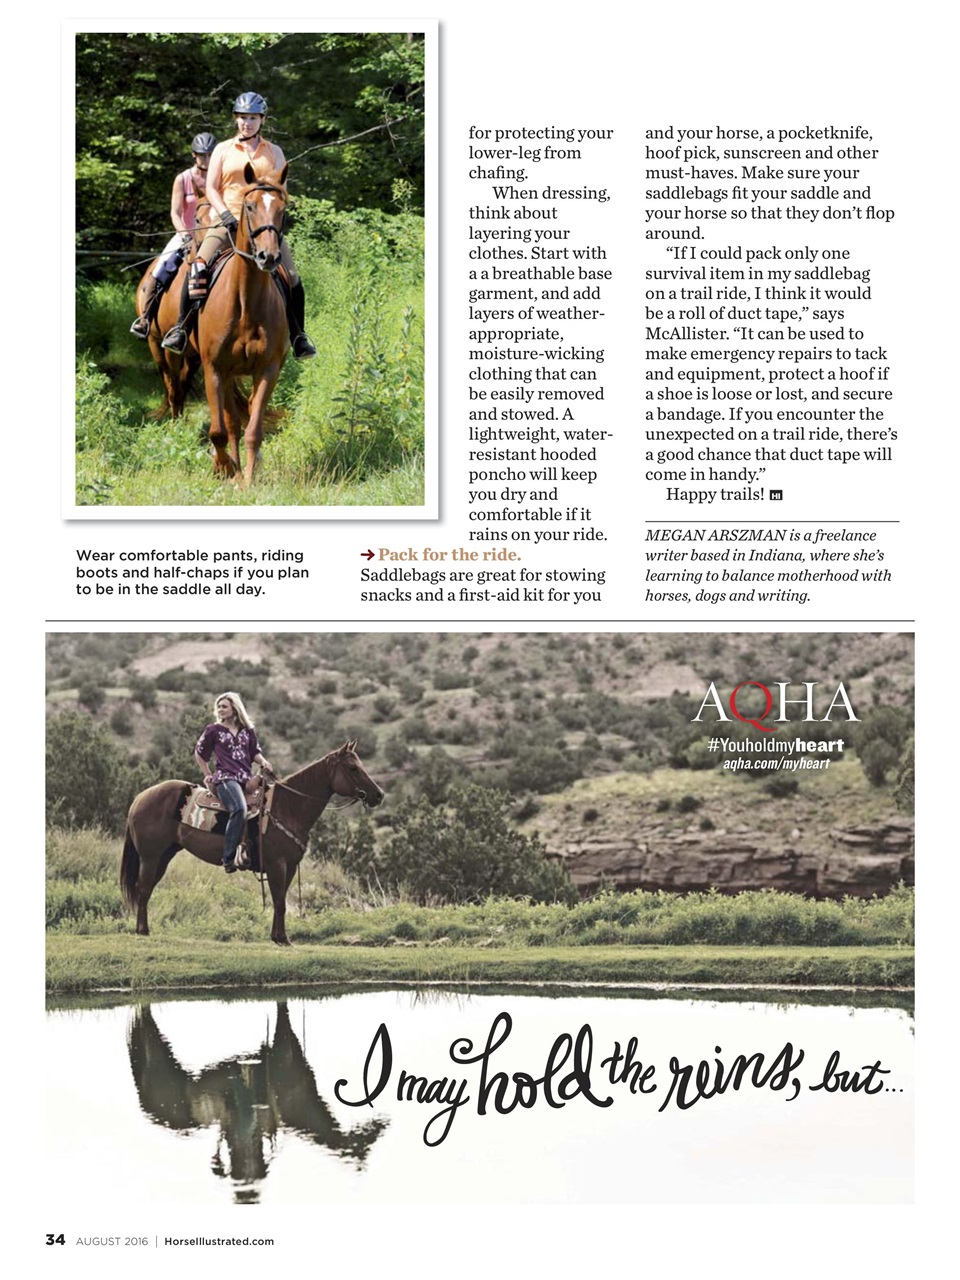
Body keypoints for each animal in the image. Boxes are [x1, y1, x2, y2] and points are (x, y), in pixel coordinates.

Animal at [121, 741, 383, 945]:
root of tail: (140, 797)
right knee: (144, 888)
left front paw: (277, 936)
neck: (287, 807)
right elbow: (280, 902)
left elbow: (280, 900)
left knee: (146, 889)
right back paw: (142, 931)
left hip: (163, 856)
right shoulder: (277, 864)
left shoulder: (289, 866)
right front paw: (283, 938)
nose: (379, 795)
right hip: (150, 856)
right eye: (352, 767)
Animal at [194, 163, 292, 485]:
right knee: (230, 423)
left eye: (282, 209)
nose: (268, 256)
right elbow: (219, 431)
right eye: (250, 206)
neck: (246, 304)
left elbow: (253, 430)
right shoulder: (214, 369)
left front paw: (248, 479)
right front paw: (225, 468)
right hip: (225, 375)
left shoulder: (268, 370)